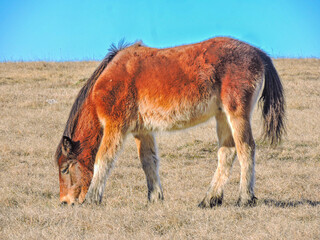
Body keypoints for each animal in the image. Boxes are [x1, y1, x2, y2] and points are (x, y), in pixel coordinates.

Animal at [54, 36, 284, 207]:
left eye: (65, 169)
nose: (65, 202)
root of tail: (259, 54)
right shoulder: (142, 131)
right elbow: (148, 162)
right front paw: (155, 198)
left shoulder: (115, 127)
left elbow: (104, 159)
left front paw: (93, 198)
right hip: (222, 117)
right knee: (227, 153)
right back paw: (210, 200)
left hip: (237, 114)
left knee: (246, 148)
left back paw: (245, 198)